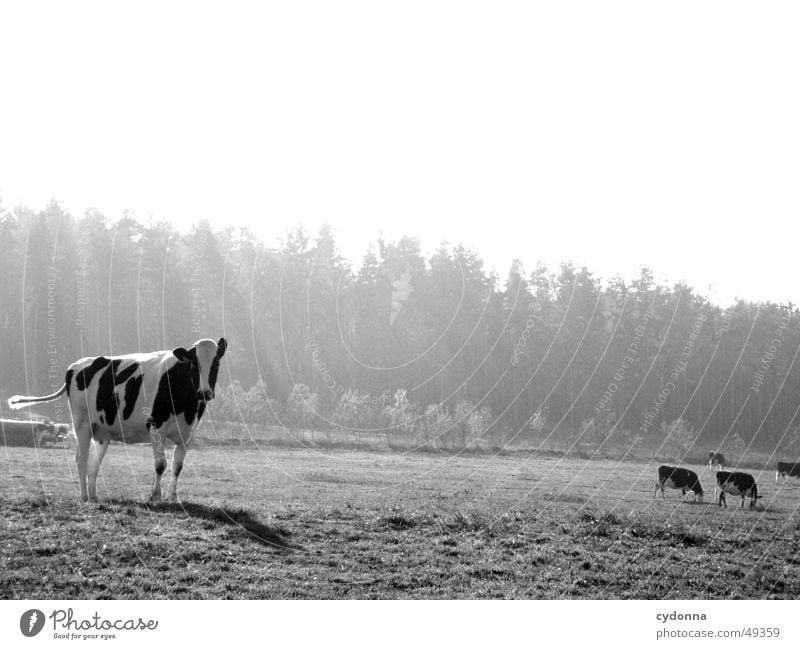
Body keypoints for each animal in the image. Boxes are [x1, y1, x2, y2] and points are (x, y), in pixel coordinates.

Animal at [8, 336, 228, 504]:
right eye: (194, 364)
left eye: (216, 363)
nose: (205, 392)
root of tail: (76, 366)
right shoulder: (155, 426)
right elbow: (161, 464)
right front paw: (155, 496)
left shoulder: (187, 434)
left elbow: (177, 467)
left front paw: (173, 497)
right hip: (81, 423)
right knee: (82, 459)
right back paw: (84, 496)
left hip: (101, 432)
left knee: (94, 463)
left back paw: (94, 496)